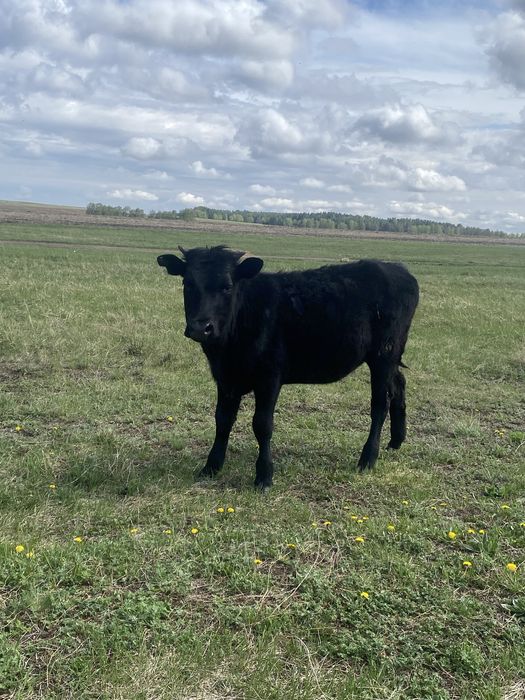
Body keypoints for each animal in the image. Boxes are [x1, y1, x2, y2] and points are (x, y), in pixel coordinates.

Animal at [158, 245, 419, 489]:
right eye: (188, 283)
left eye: (227, 286)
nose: (201, 328)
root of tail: (398, 269)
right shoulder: (225, 377)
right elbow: (222, 420)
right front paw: (211, 467)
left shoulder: (270, 377)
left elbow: (262, 425)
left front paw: (264, 476)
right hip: (389, 357)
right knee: (399, 385)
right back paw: (396, 441)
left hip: (384, 355)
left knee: (380, 404)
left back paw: (368, 458)